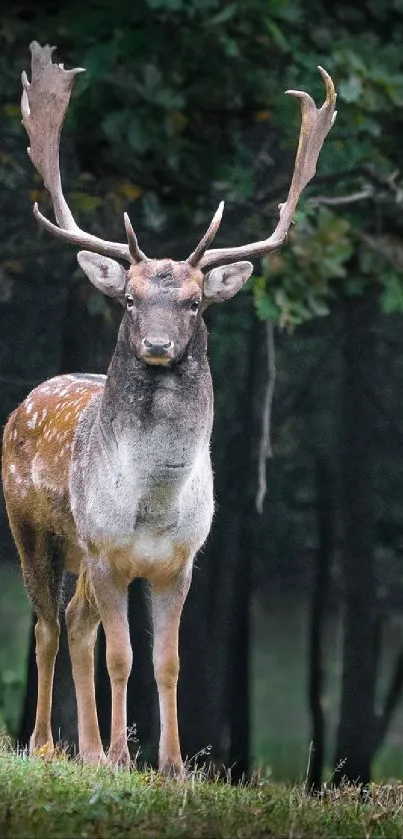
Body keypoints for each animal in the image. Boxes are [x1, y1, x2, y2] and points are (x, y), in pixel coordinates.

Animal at [1, 39, 336, 776]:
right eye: (128, 298)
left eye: (194, 302)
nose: (156, 344)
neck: (152, 504)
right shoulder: (106, 550)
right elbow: (123, 657)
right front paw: (124, 758)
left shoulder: (180, 561)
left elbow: (169, 661)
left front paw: (173, 764)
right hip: (32, 529)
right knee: (46, 625)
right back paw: (47, 744)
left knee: (74, 623)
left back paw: (87, 749)